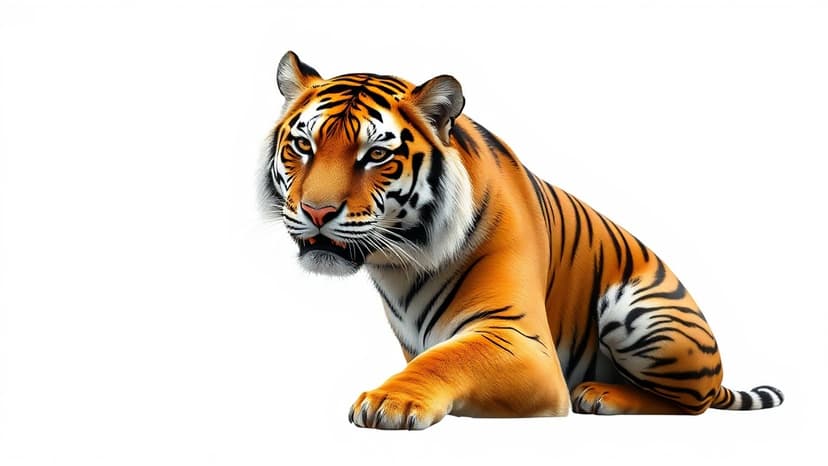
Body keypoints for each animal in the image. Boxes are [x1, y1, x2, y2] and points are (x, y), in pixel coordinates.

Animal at [260, 51, 784, 430]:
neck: (400, 263)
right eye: (303, 145)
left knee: (693, 404)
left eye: (376, 155)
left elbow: (448, 359)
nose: (317, 211)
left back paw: (600, 394)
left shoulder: (520, 340)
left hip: (635, 309)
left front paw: (391, 400)